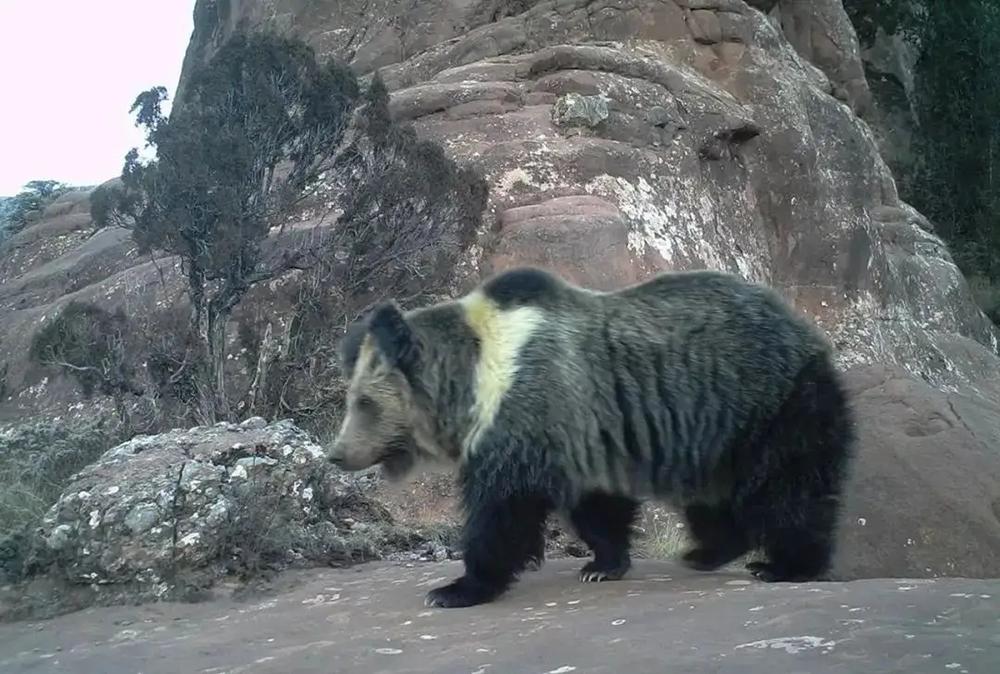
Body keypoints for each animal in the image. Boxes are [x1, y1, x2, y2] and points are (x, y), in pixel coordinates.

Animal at [324, 266, 856, 608]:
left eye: (364, 403)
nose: (336, 455)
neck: (475, 384)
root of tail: (803, 325)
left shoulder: (526, 412)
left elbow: (502, 511)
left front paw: (456, 587)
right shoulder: (582, 434)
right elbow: (597, 505)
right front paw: (603, 562)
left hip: (771, 403)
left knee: (790, 487)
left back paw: (787, 565)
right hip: (717, 431)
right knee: (712, 498)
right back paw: (707, 551)